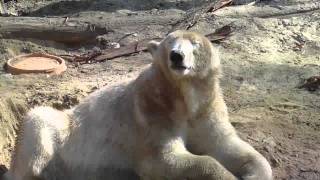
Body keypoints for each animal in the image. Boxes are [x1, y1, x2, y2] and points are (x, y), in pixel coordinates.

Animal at [2, 31, 272, 180]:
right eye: (169, 43)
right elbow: (164, 158)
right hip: (59, 129)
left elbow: (225, 144)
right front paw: (227, 175)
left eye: (194, 44)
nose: (176, 56)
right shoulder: (152, 110)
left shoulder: (207, 110)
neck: (183, 98)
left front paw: (253, 171)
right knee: (38, 127)